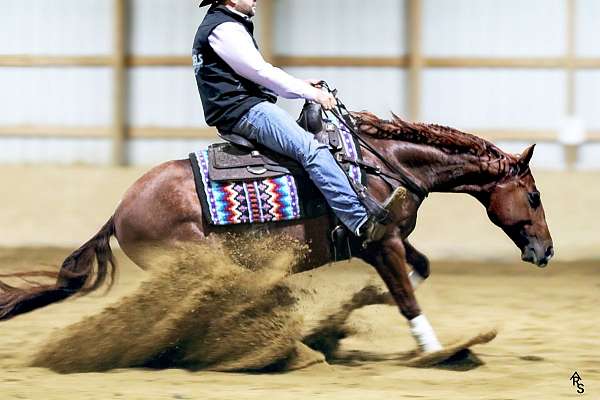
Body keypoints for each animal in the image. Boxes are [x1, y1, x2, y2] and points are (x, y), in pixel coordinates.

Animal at [0, 111, 552, 352]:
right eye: (533, 196)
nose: (545, 250)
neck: (381, 165)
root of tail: (119, 211)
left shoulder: (386, 240)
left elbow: (417, 272)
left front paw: (353, 309)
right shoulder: (381, 242)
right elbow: (408, 298)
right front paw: (438, 352)